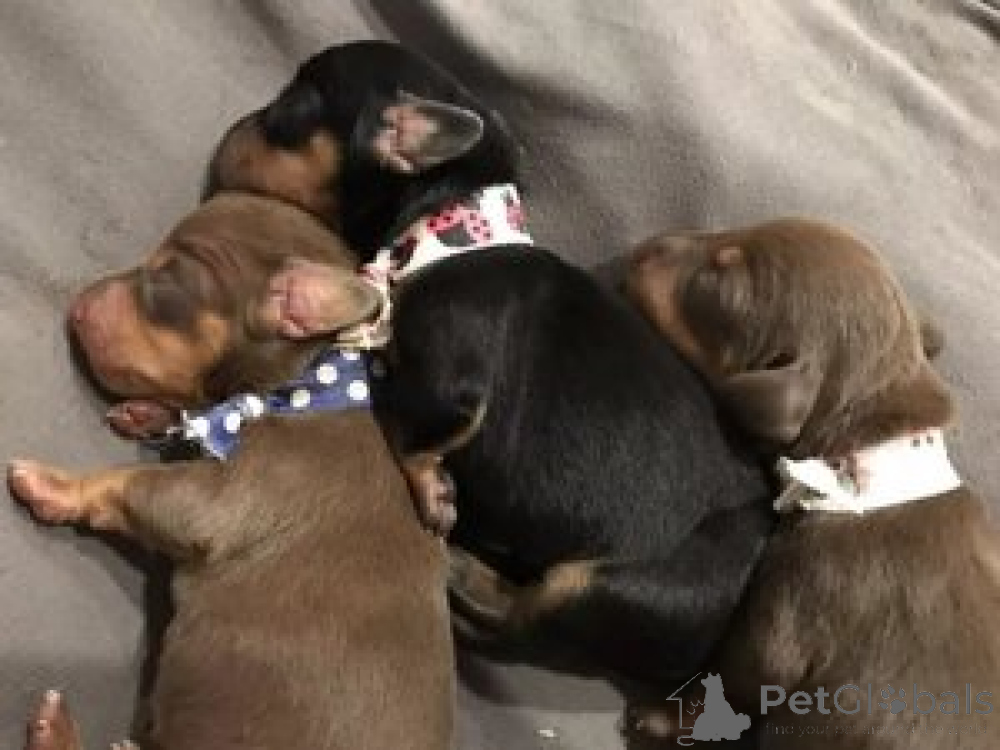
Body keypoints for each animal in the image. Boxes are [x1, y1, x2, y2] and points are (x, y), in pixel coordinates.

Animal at [10, 194, 454, 750]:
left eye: (167, 279)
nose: (78, 303)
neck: (310, 379)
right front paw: (150, 414)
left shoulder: (218, 498)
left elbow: (126, 483)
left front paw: (52, 484)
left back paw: (55, 729)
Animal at [205, 39, 778, 689]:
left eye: (288, 111)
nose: (228, 133)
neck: (446, 228)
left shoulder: (449, 386)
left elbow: (402, 424)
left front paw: (435, 492)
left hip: (608, 585)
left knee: (524, 617)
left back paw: (463, 569)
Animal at [624, 218, 1000, 747]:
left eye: (716, 285)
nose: (648, 245)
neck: (867, 469)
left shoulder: (784, 618)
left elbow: (740, 679)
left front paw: (662, 716)